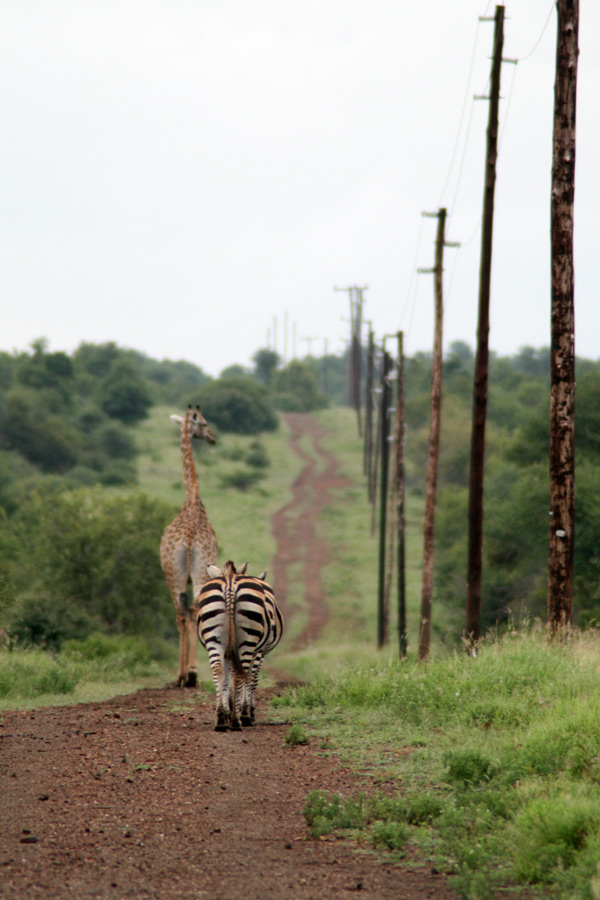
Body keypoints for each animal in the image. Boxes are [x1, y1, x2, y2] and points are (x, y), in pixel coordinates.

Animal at [196, 564, 282, 732]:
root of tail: (230, 582)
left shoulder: (228, 652)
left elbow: (226, 678)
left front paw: (228, 708)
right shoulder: (258, 652)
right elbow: (252, 677)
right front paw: (247, 713)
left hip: (214, 638)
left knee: (218, 670)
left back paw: (221, 719)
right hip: (248, 639)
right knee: (240, 674)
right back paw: (236, 720)